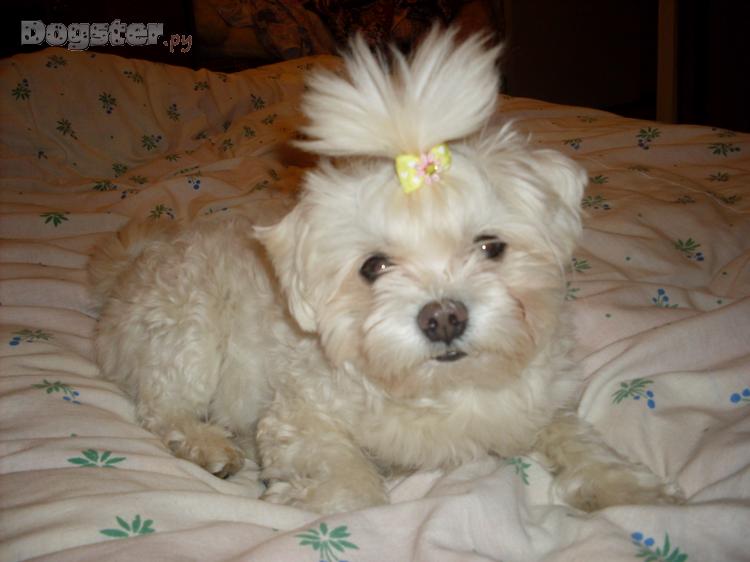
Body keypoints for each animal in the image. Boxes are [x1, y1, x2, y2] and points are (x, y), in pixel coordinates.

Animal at [89, 28, 680, 513]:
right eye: (373, 266)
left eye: (490, 247)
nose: (443, 318)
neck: (442, 388)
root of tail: (133, 263)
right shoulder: (299, 415)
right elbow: (354, 489)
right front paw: (303, 497)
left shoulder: (536, 401)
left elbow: (574, 434)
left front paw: (625, 487)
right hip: (188, 335)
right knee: (162, 408)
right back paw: (208, 444)